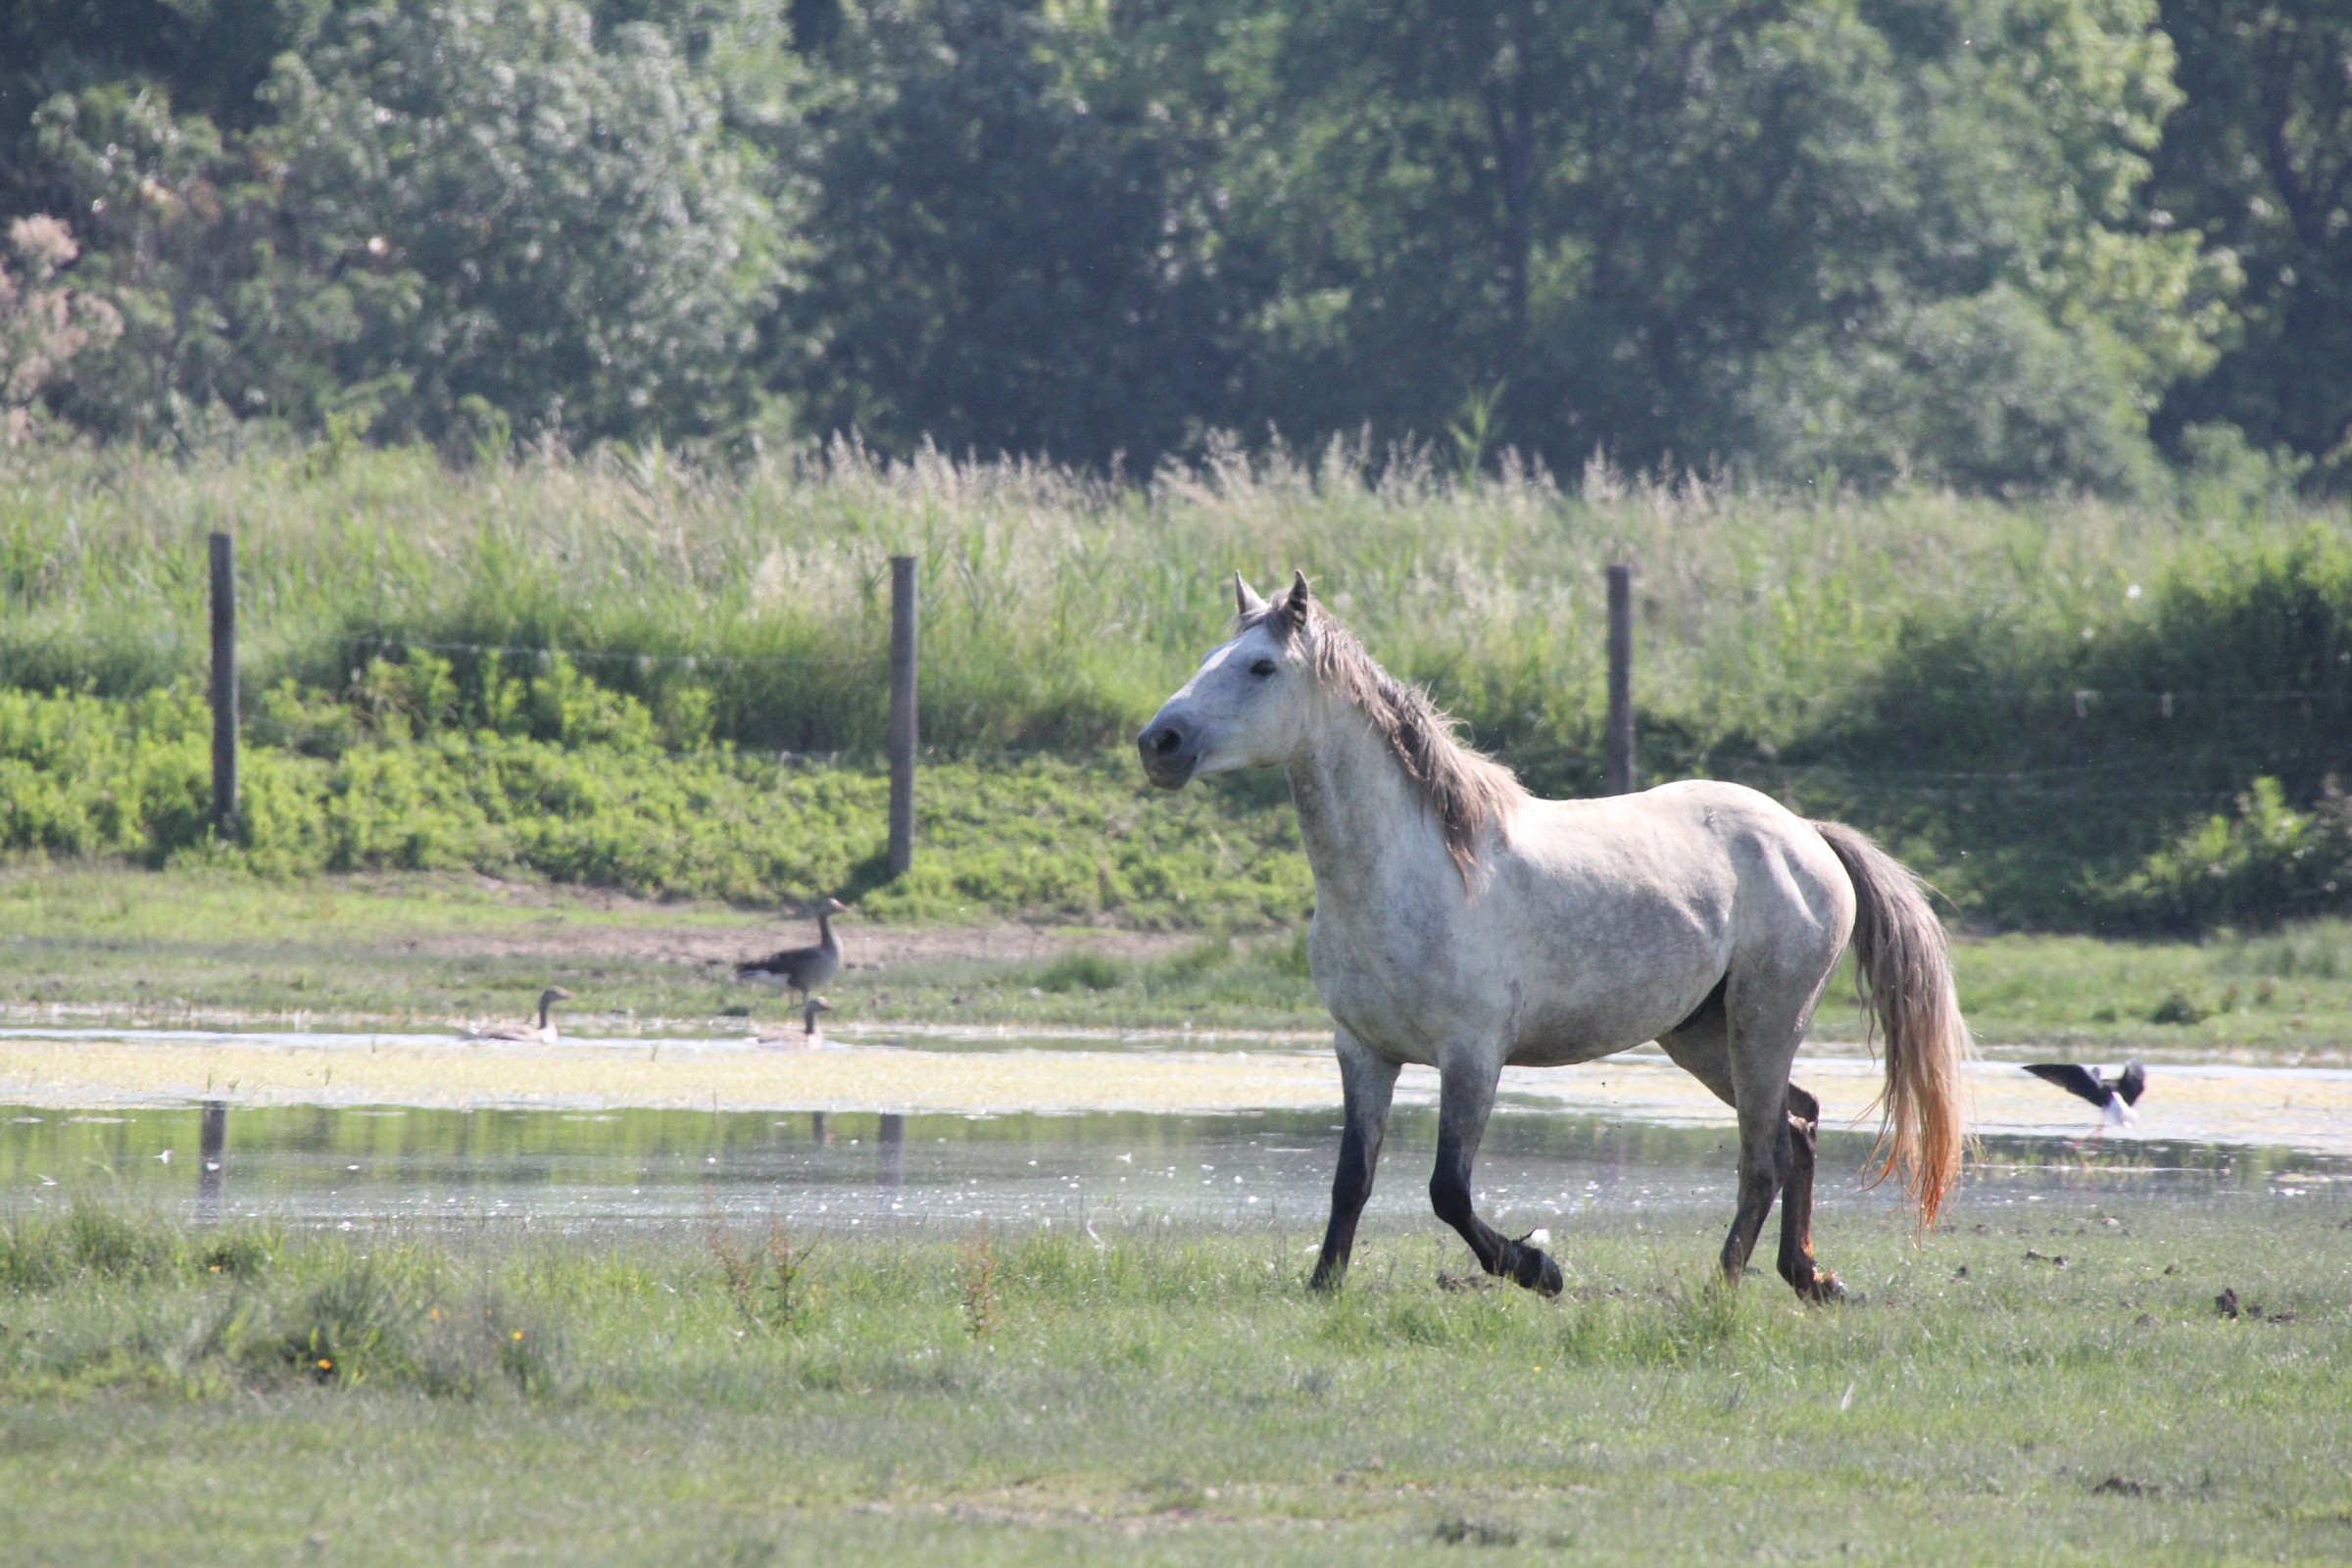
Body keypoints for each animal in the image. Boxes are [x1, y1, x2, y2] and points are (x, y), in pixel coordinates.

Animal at [1136, 572, 1969, 1302]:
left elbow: (1447, 1189)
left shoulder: (1472, 1055)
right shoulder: (1363, 1052)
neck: (1414, 869)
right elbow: (1352, 1180)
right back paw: (1810, 1277)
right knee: (1797, 1127)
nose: (1159, 742)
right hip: (1702, 1034)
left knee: (1762, 1154)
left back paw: (1723, 1287)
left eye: (1260, 666)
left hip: (1765, 1022)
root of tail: (1806, 835)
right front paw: (1323, 1285)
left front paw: (1538, 1269)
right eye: (1207, 657)